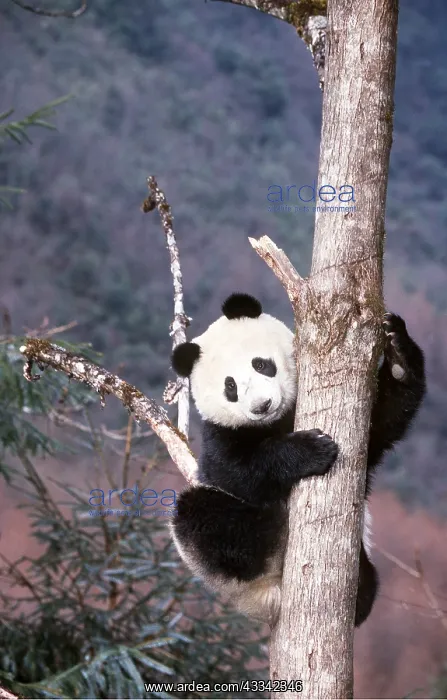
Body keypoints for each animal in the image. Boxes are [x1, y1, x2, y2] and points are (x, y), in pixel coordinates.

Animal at [170, 292, 426, 628]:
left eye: (261, 364)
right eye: (231, 386)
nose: (262, 405)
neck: (276, 420)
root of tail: (270, 600)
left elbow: (382, 423)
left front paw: (397, 353)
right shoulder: (220, 436)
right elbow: (237, 472)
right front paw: (313, 449)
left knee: (366, 580)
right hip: (224, 570)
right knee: (198, 515)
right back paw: (270, 525)